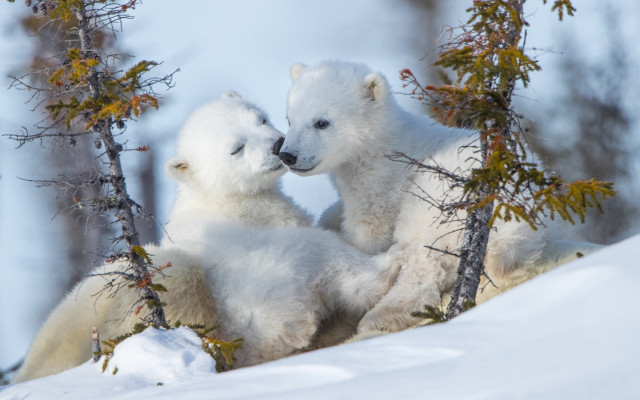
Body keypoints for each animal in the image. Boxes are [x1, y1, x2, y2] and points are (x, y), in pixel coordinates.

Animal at [13, 92, 398, 382]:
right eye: (236, 148)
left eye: (260, 118)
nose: (277, 144)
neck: (227, 202)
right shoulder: (250, 282)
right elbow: (307, 258)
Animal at [277, 60, 600, 333]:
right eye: (290, 119)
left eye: (322, 122)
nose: (287, 155)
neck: (383, 147)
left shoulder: (383, 184)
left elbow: (371, 232)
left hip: (442, 199)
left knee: (423, 260)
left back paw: (380, 316)